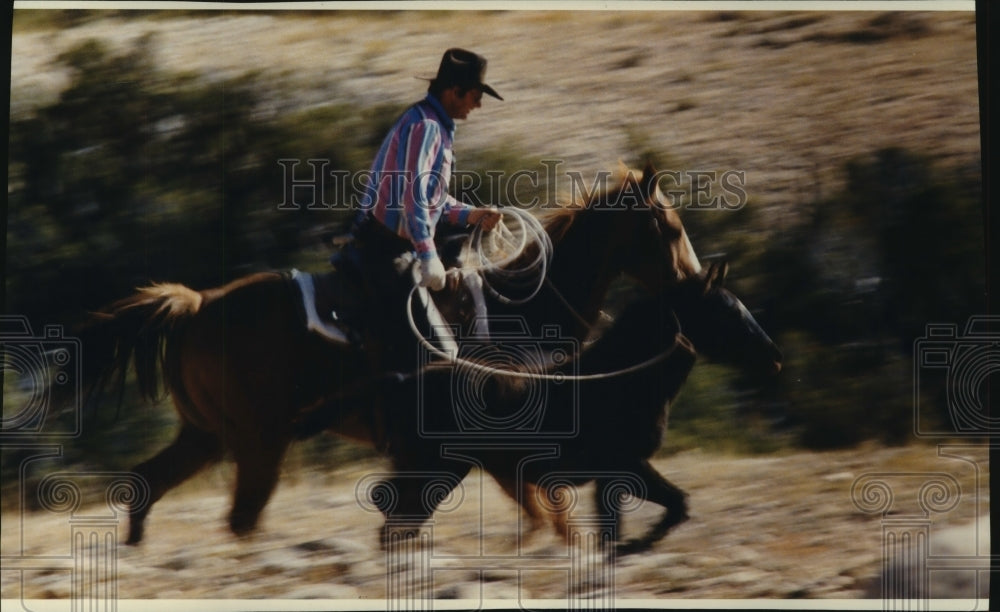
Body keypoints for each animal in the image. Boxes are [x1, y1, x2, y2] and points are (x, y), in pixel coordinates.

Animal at [80, 163, 704, 544]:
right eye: (670, 228)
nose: (696, 283)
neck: (520, 310)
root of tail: (197, 305)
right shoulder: (497, 454)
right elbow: (549, 517)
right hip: (261, 443)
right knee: (241, 518)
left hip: (206, 435)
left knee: (146, 486)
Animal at [292, 260, 784, 552]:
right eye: (728, 311)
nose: (774, 358)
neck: (623, 377)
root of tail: (404, 379)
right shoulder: (625, 466)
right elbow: (672, 507)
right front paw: (630, 548)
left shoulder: (612, 475)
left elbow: (637, 518)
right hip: (433, 469)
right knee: (394, 512)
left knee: (392, 511)